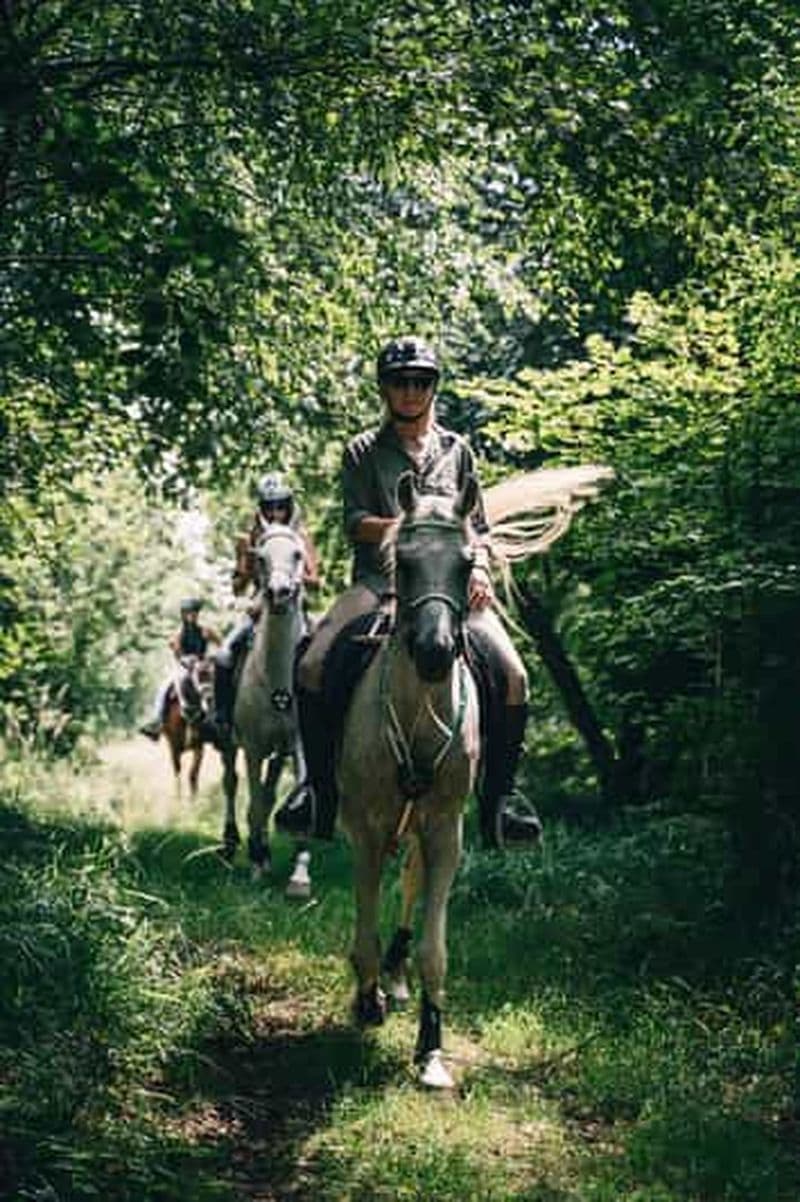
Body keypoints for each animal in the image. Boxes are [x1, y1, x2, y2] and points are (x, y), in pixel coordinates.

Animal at [162, 655, 214, 801]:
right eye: (198, 675)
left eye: (213, 674)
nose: (210, 698)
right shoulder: (173, 748)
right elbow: (177, 774)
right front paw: (178, 800)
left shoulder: (199, 747)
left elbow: (193, 773)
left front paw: (194, 798)